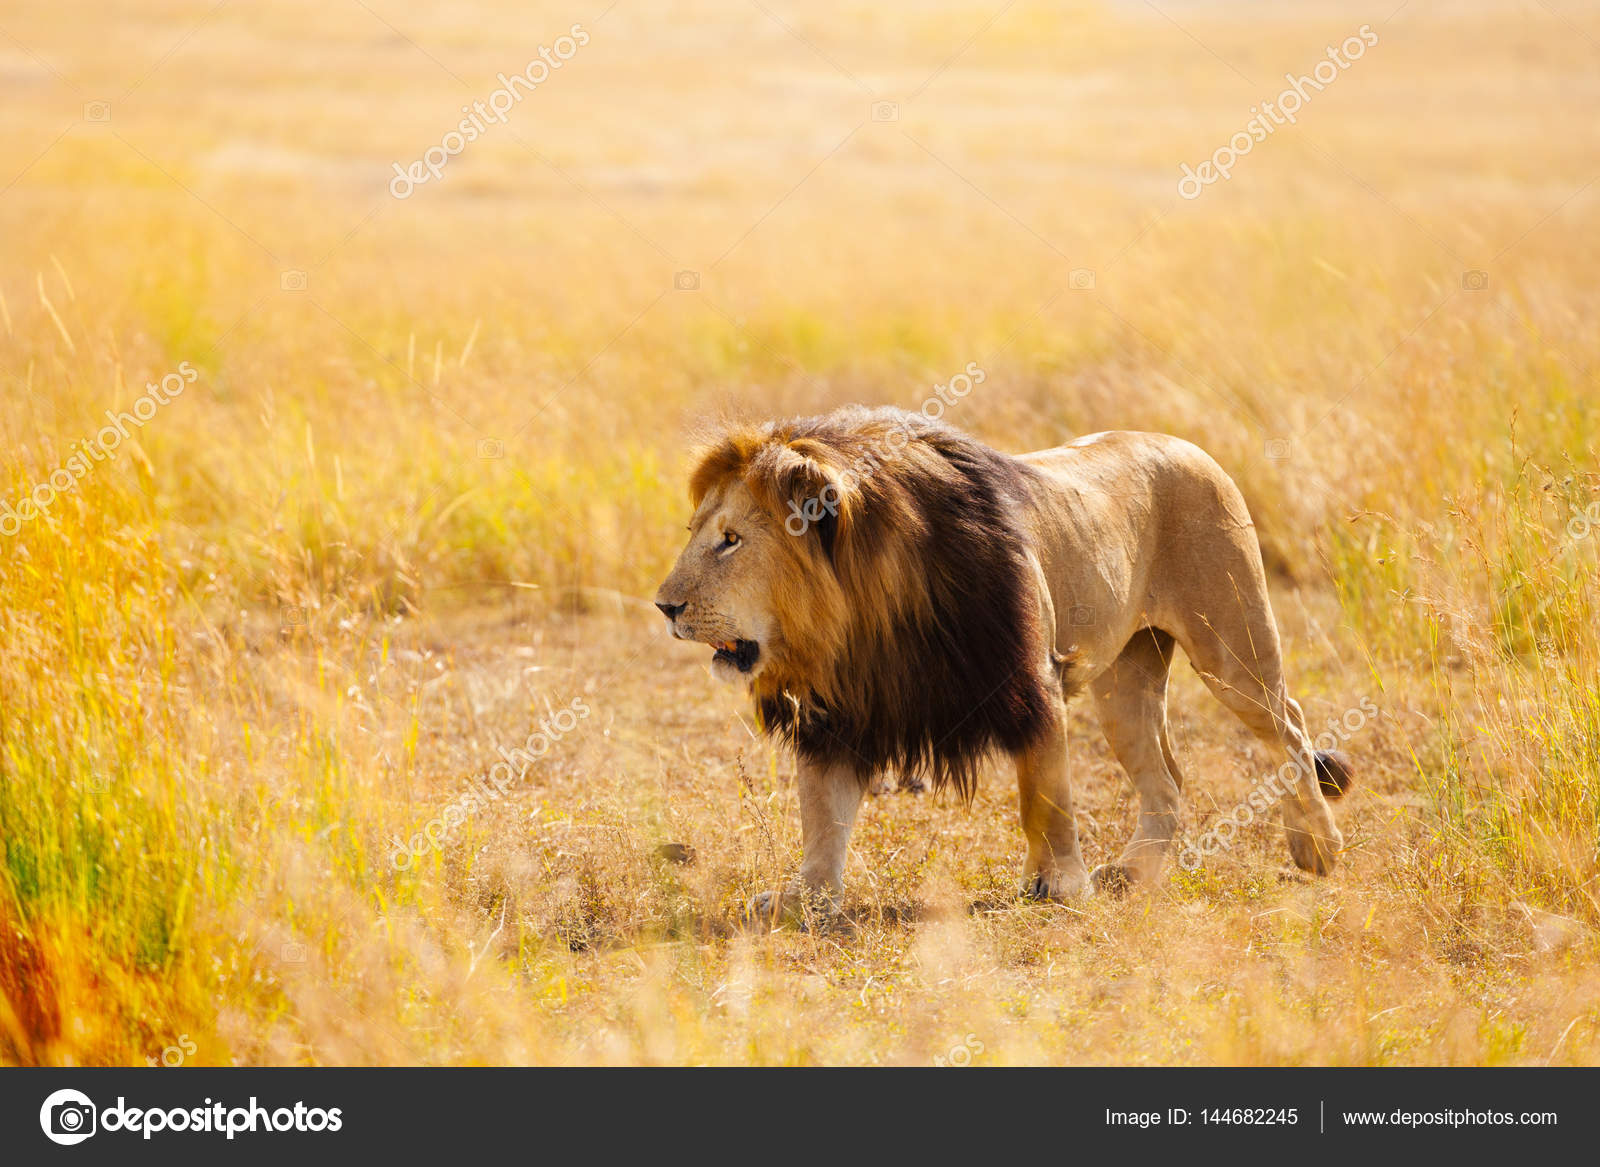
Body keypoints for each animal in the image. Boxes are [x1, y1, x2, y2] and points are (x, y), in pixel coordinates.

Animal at [654, 406, 1351, 921]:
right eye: (695, 533)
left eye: (731, 540)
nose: (664, 606)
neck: (866, 617)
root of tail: (1188, 445)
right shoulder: (841, 715)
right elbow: (823, 819)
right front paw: (805, 898)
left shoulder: (1032, 684)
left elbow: (1045, 798)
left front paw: (1060, 884)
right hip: (1126, 681)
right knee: (1168, 781)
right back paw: (1133, 873)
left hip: (1232, 647)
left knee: (1289, 728)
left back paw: (1317, 848)